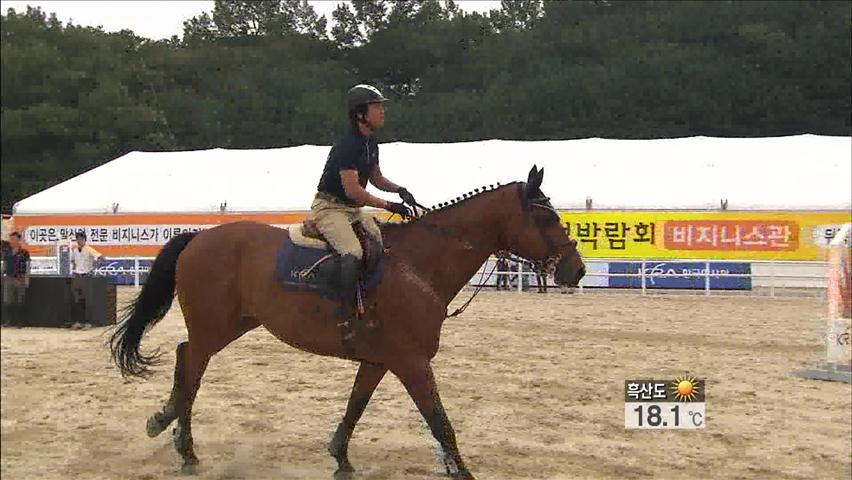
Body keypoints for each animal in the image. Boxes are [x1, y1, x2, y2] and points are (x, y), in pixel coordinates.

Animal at [108, 166, 584, 480]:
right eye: (545, 217)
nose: (576, 270)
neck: (419, 263)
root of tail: (199, 237)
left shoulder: (381, 360)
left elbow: (356, 405)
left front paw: (340, 457)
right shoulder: (412, 363)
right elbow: (439, 421)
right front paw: (460, 470)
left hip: (233, 324)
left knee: (185, 358)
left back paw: (169, 425)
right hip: (214, 327)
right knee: (191, 366)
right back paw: (182, 443)